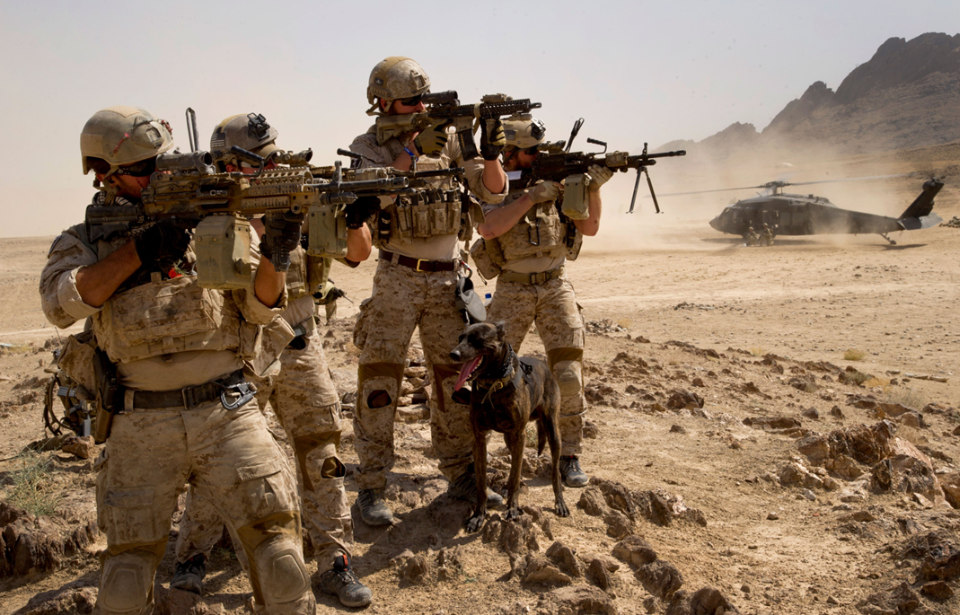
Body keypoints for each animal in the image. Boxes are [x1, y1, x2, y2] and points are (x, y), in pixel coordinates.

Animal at [450, 322, 568, 536]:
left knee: (554, 471)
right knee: (515, 463)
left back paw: (560, 502)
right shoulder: (479, 439)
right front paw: (478, 516)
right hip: (509, 439)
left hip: (552, 431)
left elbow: (515, 474)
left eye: (477, 339)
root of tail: (544, 365)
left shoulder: (520, 435)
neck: (492, 385)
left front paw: (513, 508)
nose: (453, 354)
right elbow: (482, 483)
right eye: (460, 338)